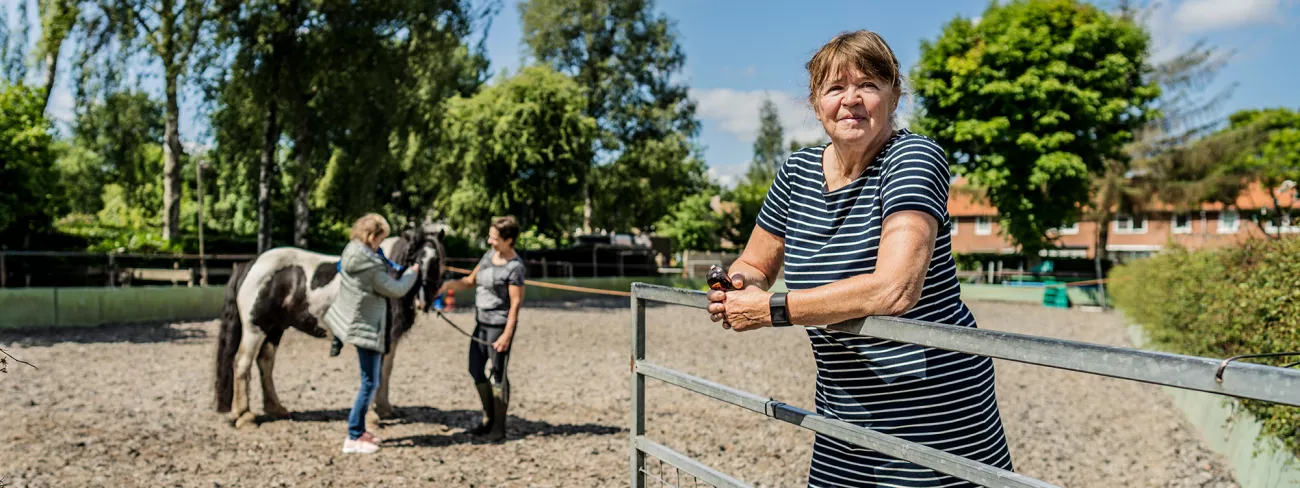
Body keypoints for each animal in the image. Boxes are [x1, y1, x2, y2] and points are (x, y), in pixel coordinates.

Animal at [214, 225, 447, 426]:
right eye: (414, 259)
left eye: (436, 260)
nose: (425, 300)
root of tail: (251, 264)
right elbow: (376, 373)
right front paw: (372, 415)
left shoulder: (390, 340)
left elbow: (385, 371)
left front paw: (384, 408)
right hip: (255, 329)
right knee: (242, 364)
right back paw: (245, 416)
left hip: (275, 329)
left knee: (265, 362)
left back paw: (276, 408)